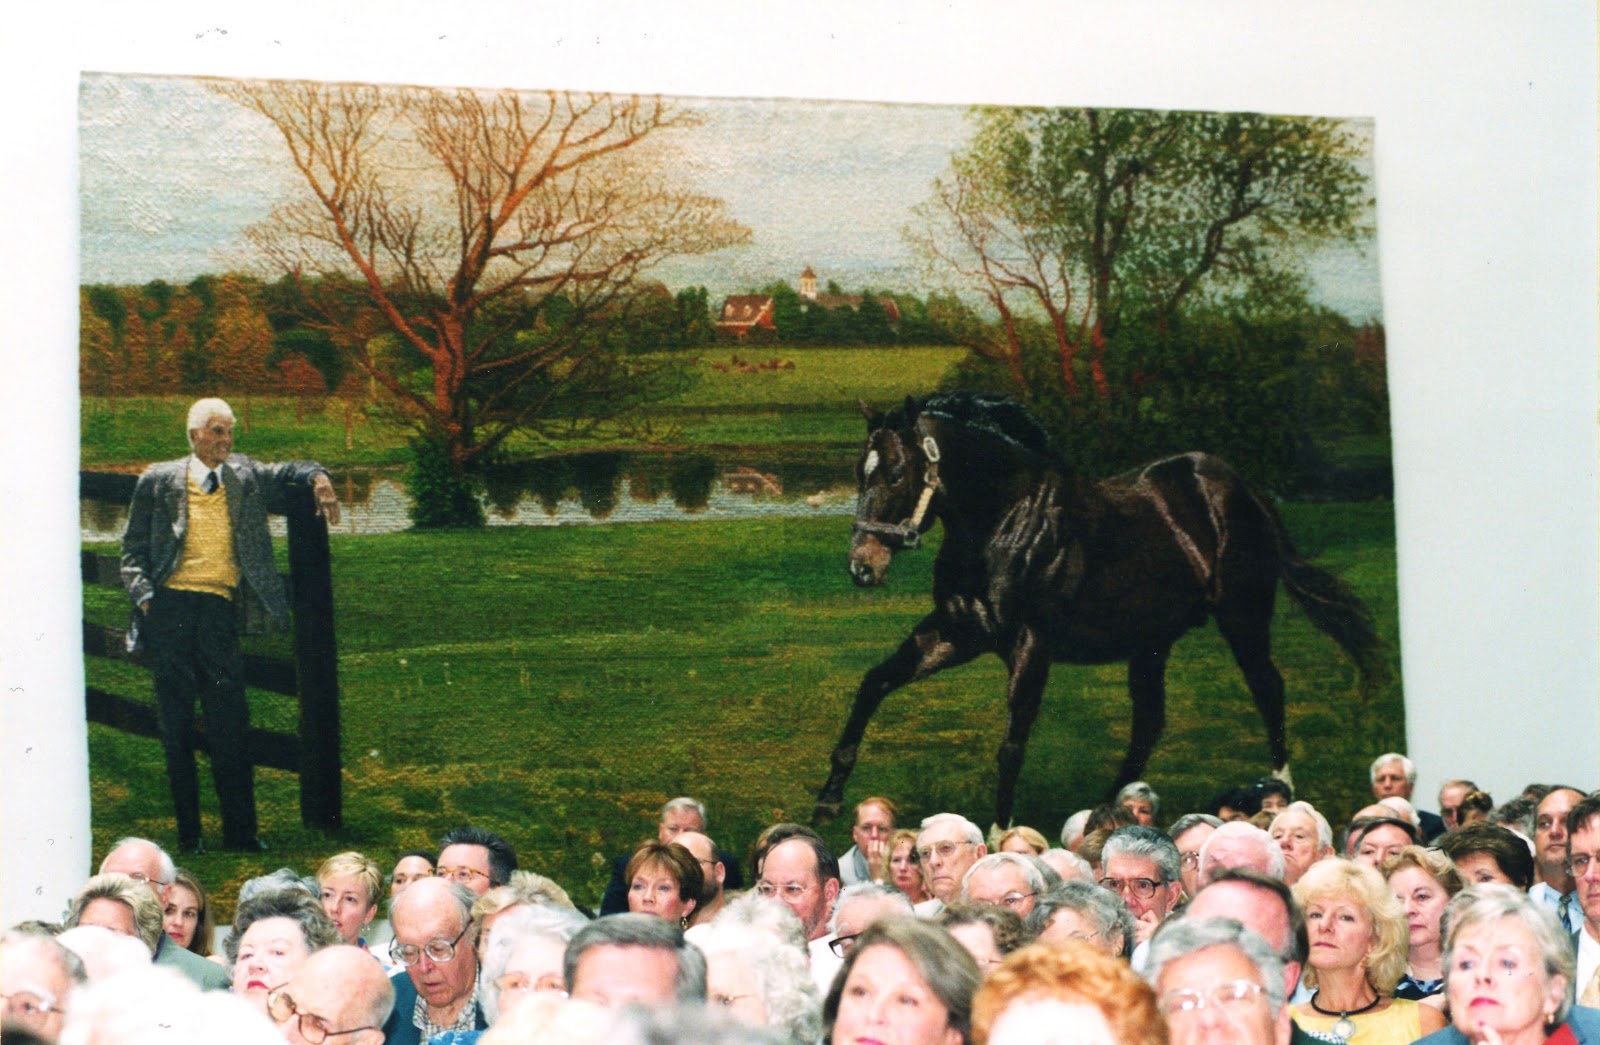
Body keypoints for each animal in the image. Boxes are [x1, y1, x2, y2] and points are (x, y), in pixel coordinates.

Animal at [812, 387, 1388, 825]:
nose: (862, 566)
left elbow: (1012, 744)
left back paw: (1280, 797)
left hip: (1242, 618)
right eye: (860, 472)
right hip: (1153, 641)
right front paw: (829, 798)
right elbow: (875, 682)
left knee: (1268, 687)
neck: (1004, 522)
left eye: (896, 473)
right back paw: (1106, 811)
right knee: (1149, 722)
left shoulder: (1031, 645)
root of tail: (1244, 491)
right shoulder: (958, 632)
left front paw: (1000, 833)